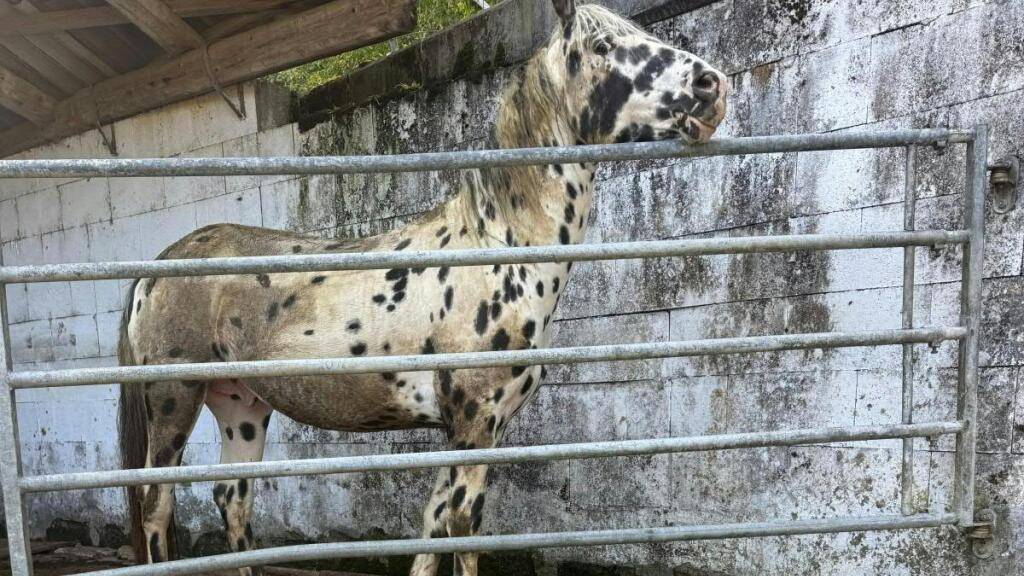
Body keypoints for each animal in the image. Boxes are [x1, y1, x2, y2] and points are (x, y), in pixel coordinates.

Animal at [116, 1, 728, 575]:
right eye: (602, 45)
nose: (712, 85)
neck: (496, 247)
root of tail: (160, 264)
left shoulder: (463, 432)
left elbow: (431, 532)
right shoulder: (476, 425)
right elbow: (462, 531)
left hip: (240, 404)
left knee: (232, 499)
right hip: (174, 400)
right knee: (156, 504)